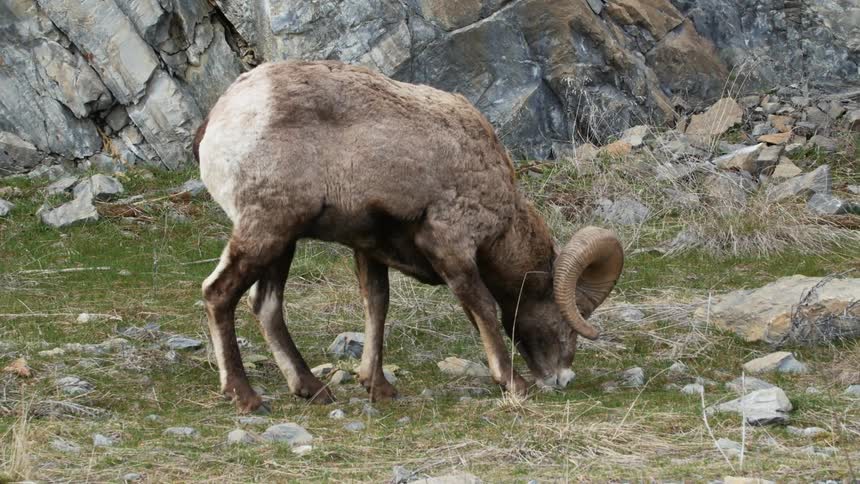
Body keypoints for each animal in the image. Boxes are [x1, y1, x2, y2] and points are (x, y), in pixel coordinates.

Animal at [195, 60, 624, 413]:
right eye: (571, 317)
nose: (562, 379)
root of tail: (222, 117)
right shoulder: (452, 248)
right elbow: (483, 308)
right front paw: (514, 384)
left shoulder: (369, 250)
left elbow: (377, 306)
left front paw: (378, 387)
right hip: (267, 231)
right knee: (218, 293)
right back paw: (246, 397)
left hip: (283, 242)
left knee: (266, 305)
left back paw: (312, 390)